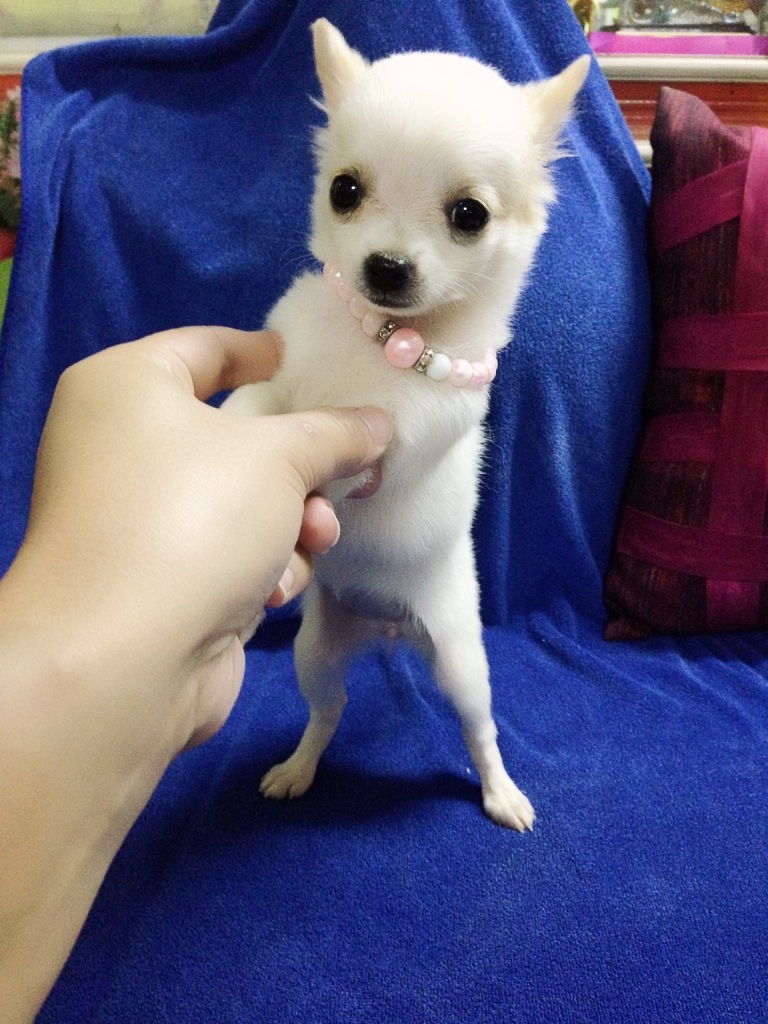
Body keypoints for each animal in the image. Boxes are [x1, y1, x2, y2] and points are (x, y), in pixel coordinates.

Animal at [224, 20, 588, 830]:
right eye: (345, 191)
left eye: (469, 215)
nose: (386, 266)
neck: (382, 340)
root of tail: (386, 626)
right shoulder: (287, 370)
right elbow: (266, 401)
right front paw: (231, 430)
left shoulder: (403, 436)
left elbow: (354, 462)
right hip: (315, 652)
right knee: (328, 709)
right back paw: (299, 768)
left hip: (461, 660)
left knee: (478, 730)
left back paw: (501, 792)